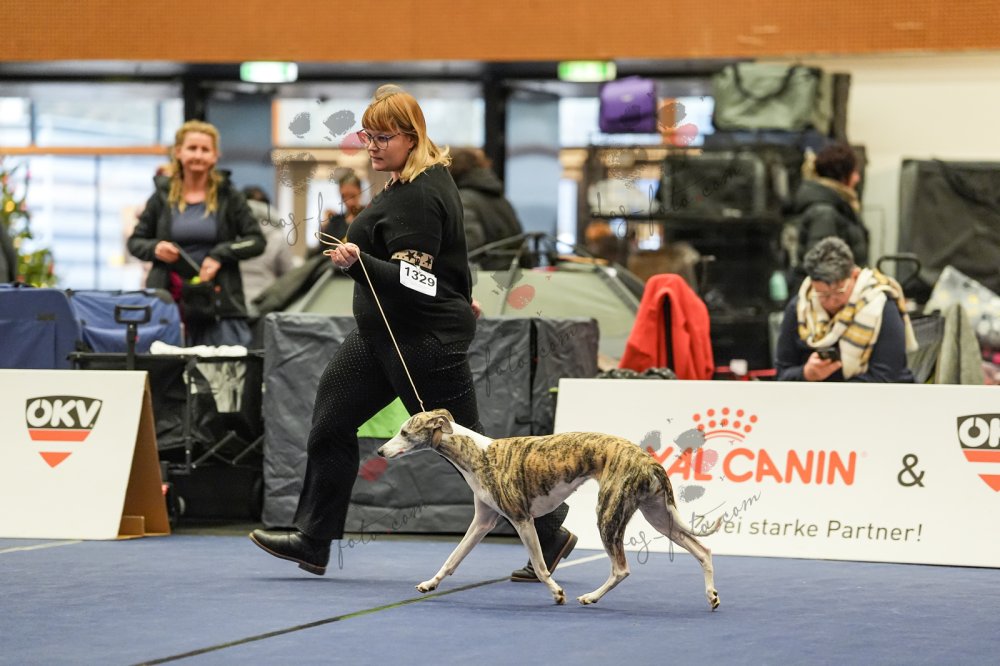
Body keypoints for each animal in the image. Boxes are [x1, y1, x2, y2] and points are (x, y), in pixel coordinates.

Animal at [377, 409, 722, 609]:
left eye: (405, 432)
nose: (380, 451)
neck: (477, 453)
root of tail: (649, 460)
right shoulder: (482, 522)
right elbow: (452, 559)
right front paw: (430, 583)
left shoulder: (522, 519)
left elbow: (542, 567)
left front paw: (556, 593)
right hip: (659, 516)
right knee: (703, 550)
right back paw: (711, 596)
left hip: (609, 514)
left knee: (621, 568)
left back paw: (591, 597)